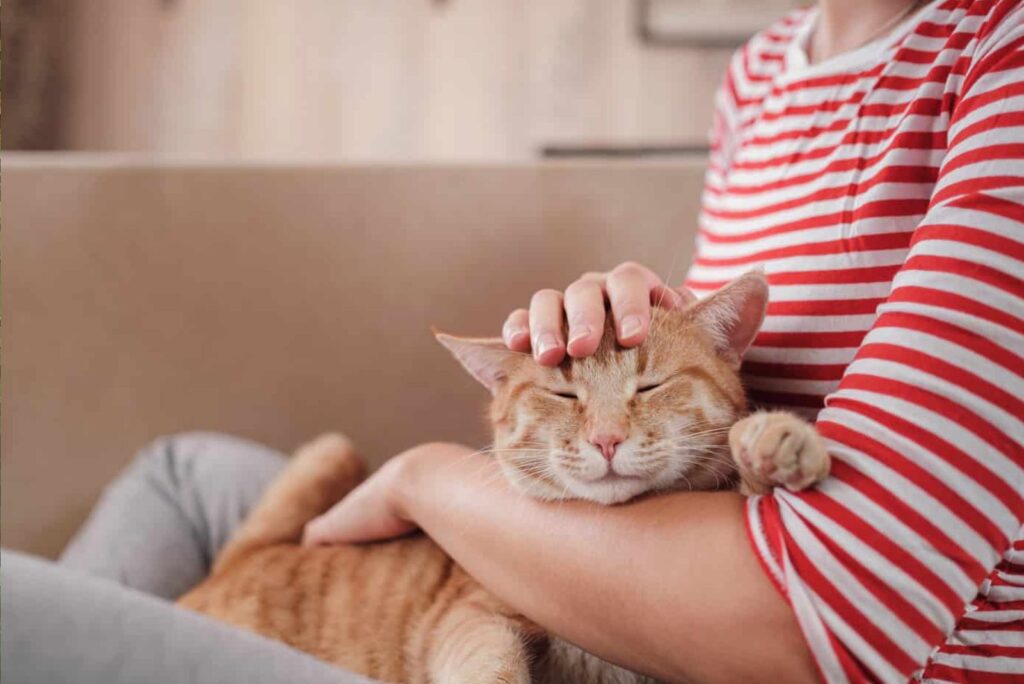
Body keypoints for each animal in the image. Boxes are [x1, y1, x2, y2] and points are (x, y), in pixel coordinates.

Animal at [178, 270, 831, 679]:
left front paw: (778, 442)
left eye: (649, 386)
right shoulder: (472, 616)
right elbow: (489, 664)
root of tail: (237, 563)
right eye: (562, 394)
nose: (606, 438)